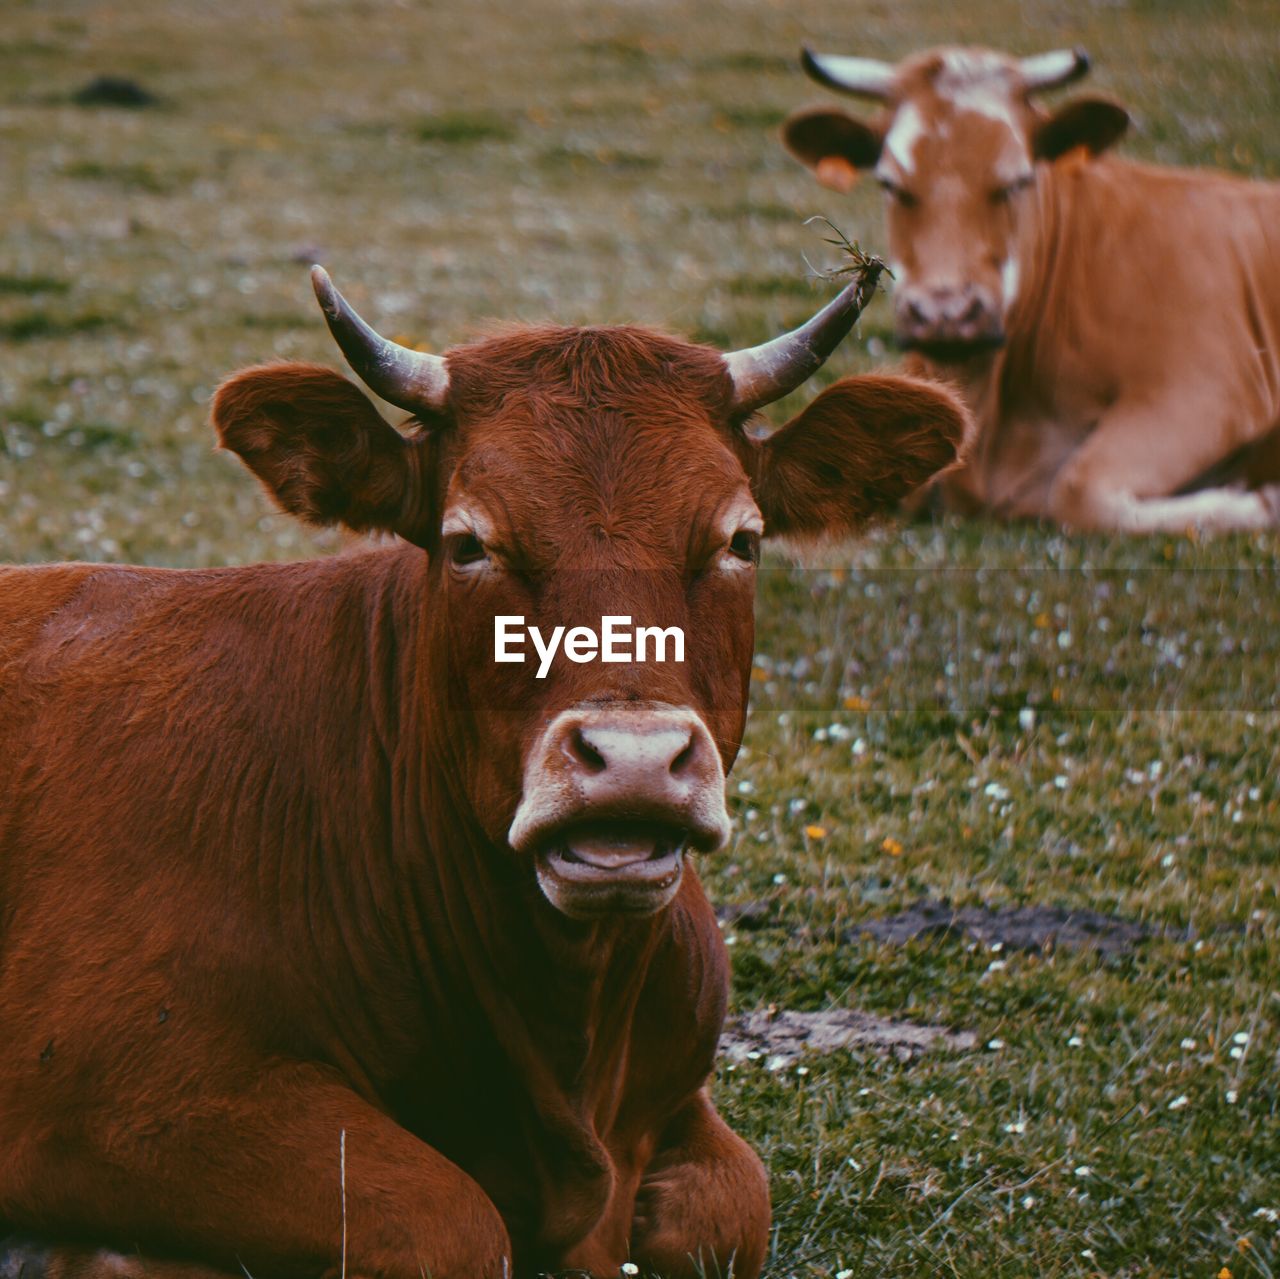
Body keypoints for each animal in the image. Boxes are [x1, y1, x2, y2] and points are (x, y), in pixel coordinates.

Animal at [0, 267, 962, 1279]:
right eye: (470, 544)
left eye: (740, 540)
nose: (632, 760)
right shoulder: (129, 1093)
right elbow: (450, 1221)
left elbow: (732, 1207)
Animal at [778, 45, 1280, 532]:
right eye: (889, 183)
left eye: (1017, 180)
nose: (946, 315)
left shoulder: (1210, 392)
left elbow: (1077, 491)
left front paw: (1258, 502)